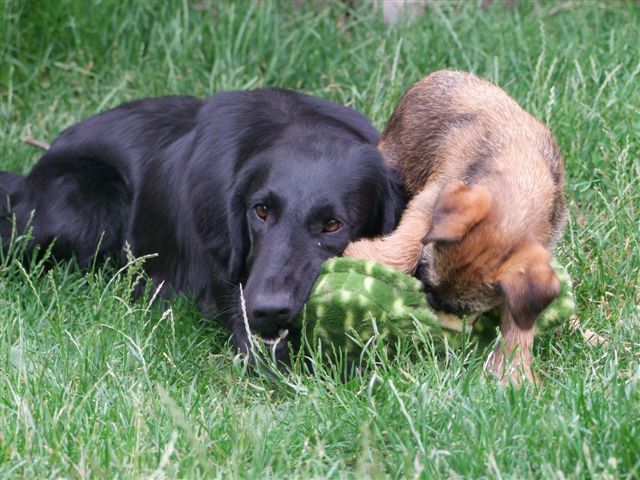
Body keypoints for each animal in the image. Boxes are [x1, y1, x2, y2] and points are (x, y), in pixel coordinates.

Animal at [344, 70, 564, 382]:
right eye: (426, 278)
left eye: (463, 310)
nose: (431, 301)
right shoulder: (429, 203)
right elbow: (407, 246)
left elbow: (520, 318)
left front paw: (514, 369)